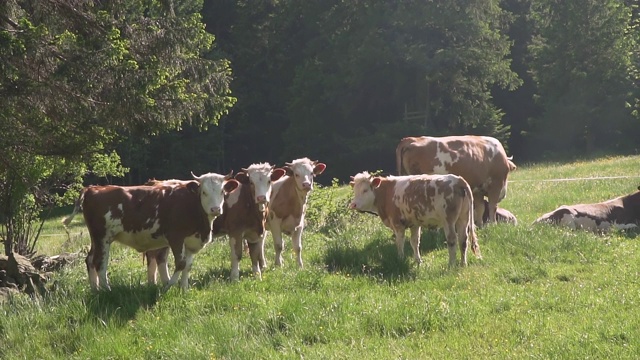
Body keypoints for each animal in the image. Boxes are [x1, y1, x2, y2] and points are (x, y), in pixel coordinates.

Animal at [62, 173, 239, 292]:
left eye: (222, 191)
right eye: (204, 192)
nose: (215, 209)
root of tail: (93, 188)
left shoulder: (191, 240)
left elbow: (188, 265)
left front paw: (184, 288)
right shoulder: (175, 237)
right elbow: (180, 263)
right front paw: (168, 286)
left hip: (95, 238)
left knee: (90, 259)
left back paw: (95, 289)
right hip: (103, 237)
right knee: (100, 262)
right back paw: (107, 291)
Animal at [350, 172, 480, 268]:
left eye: (365, 190)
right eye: (355, 190)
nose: (353, 204)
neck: (387, 192)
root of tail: (458, 180)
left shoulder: (397, 224)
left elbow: (400, 242)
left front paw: (400, 259)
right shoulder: (414, 224)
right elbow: (414, 241)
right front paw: (418, 260)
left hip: (449, 221)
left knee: (452, 240)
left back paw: (451, 264)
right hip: (463, 218)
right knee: (463, 240)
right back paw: (463, 263)